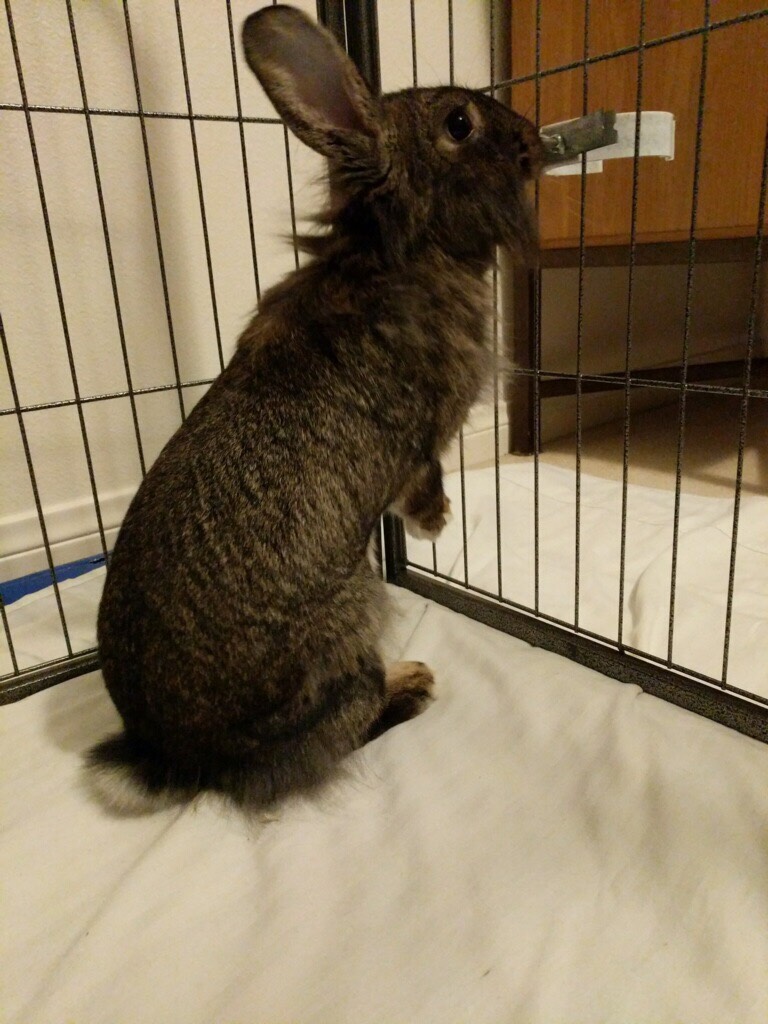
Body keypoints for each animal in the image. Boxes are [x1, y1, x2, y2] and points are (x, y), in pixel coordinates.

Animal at [88, 3, 543, 814]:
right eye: (459, 123)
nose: (537, 141)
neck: (402, 244)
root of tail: (176, 756)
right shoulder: (421, 440)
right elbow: (422, 477)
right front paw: (435, 526)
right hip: (351, 614)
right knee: (339, 729)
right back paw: (411, 685)